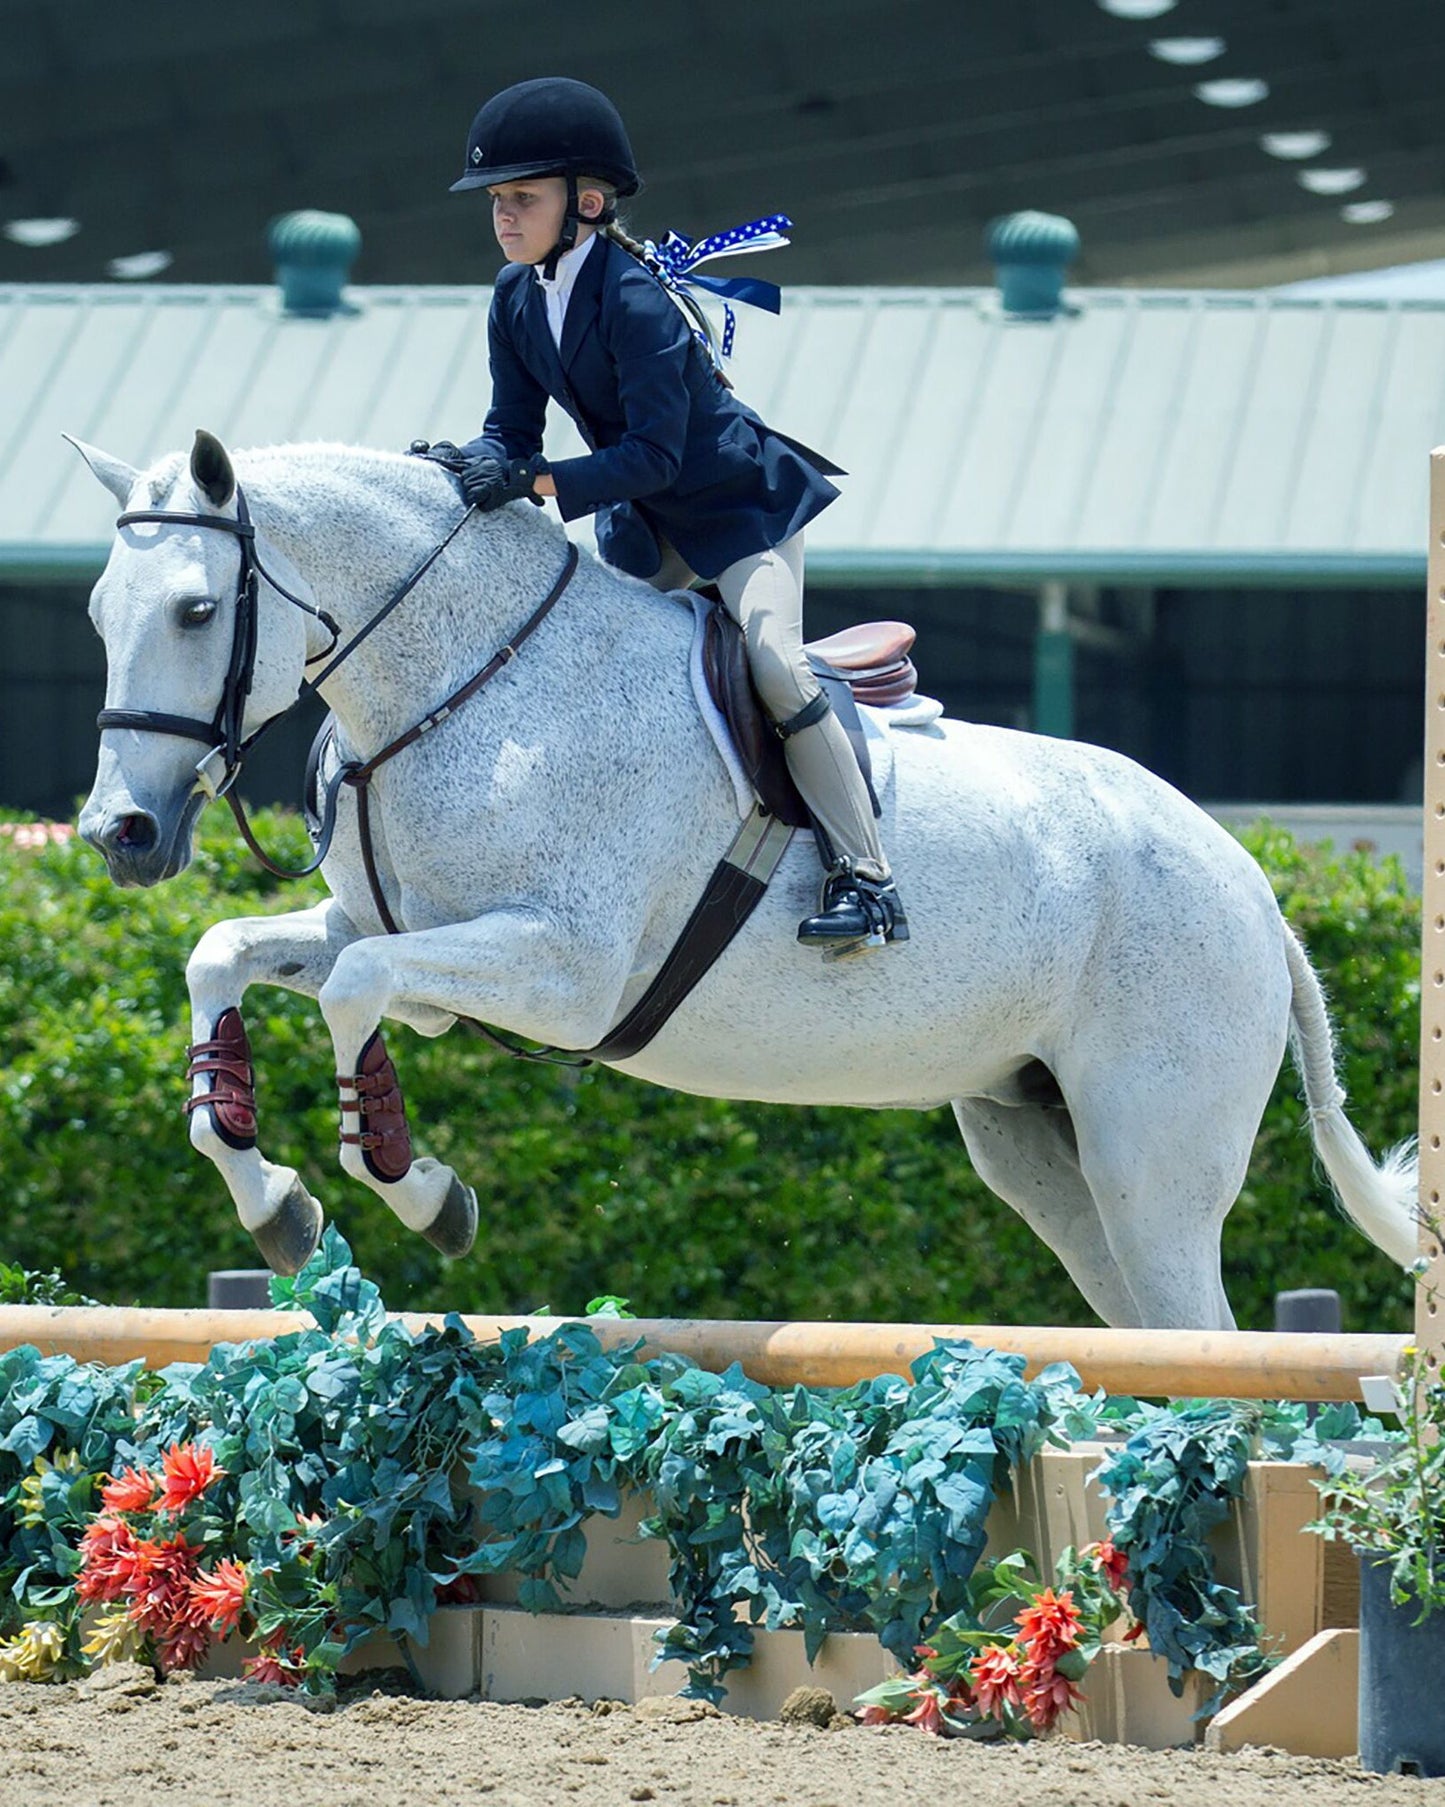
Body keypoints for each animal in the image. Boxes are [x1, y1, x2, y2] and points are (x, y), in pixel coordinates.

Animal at [69, 430, 1418, 1331]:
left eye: (195, 611)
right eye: (96, 613)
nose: (123, 833)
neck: (461, 678)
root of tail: (1251, 888)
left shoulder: (560, 972)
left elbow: (355, 989)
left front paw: (421, 1193)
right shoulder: (389, 930)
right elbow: (228, 955)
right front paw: (275, 1200)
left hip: (1151, 1156)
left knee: (1207, 1340)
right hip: (1039, 1145)